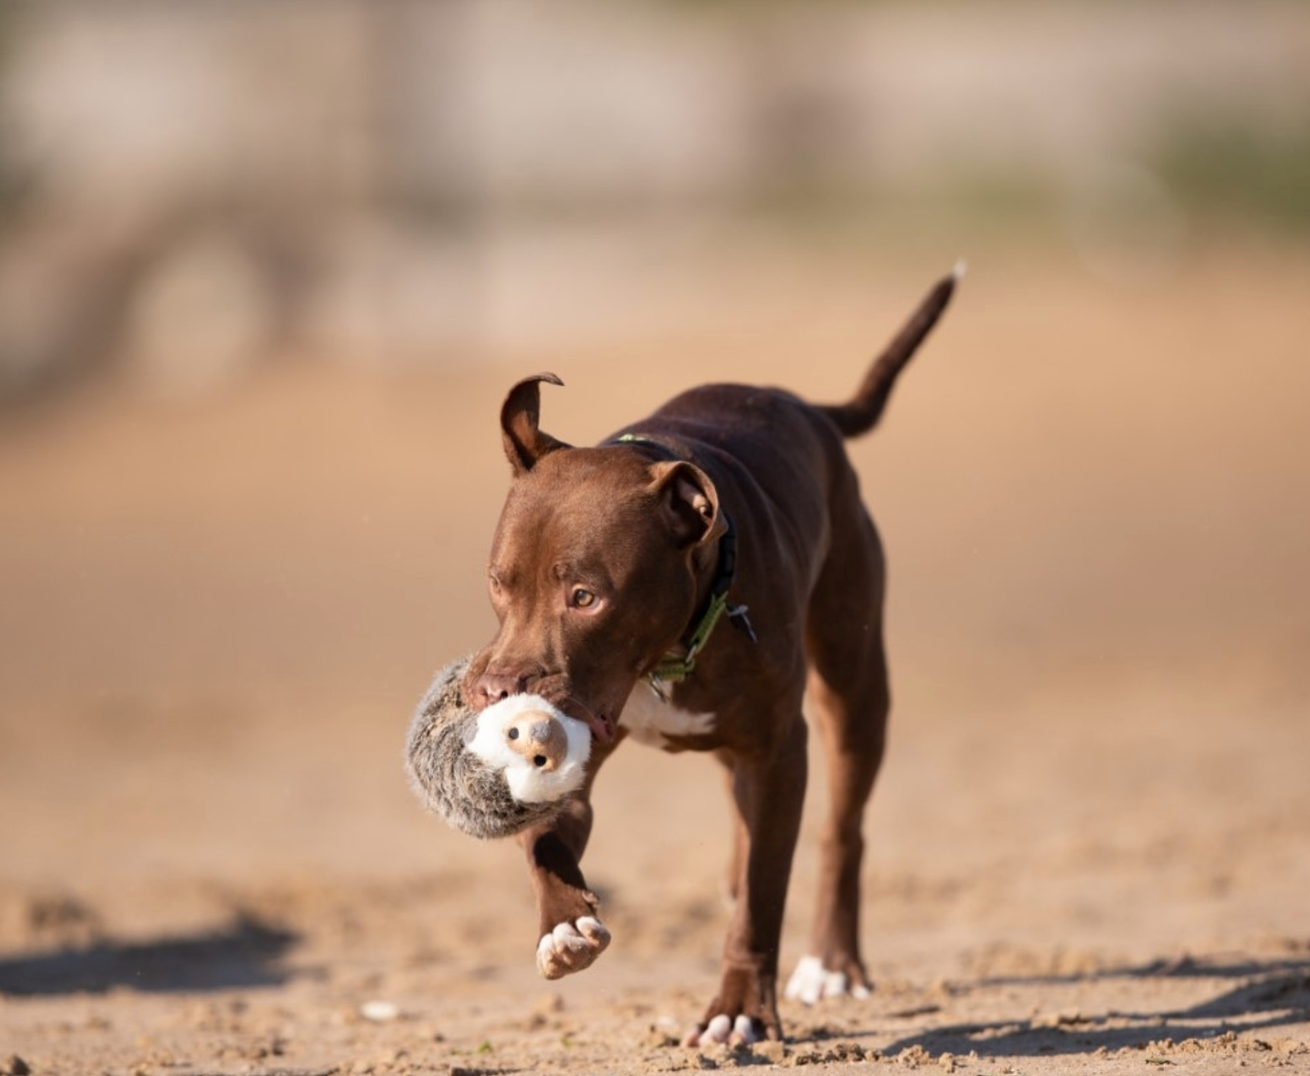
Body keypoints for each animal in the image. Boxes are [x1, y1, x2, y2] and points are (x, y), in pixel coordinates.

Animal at [463, 266, 964, 1043]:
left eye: (586, 597)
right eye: (498, 582)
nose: (497, 689)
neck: (664, 655)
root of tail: (810, 410)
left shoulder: (781, 752)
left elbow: (765, 893)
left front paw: (740, 1011)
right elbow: (546, 836)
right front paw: (564, 925)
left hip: (853, 688)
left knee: (841, 831)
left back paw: (832, 965)